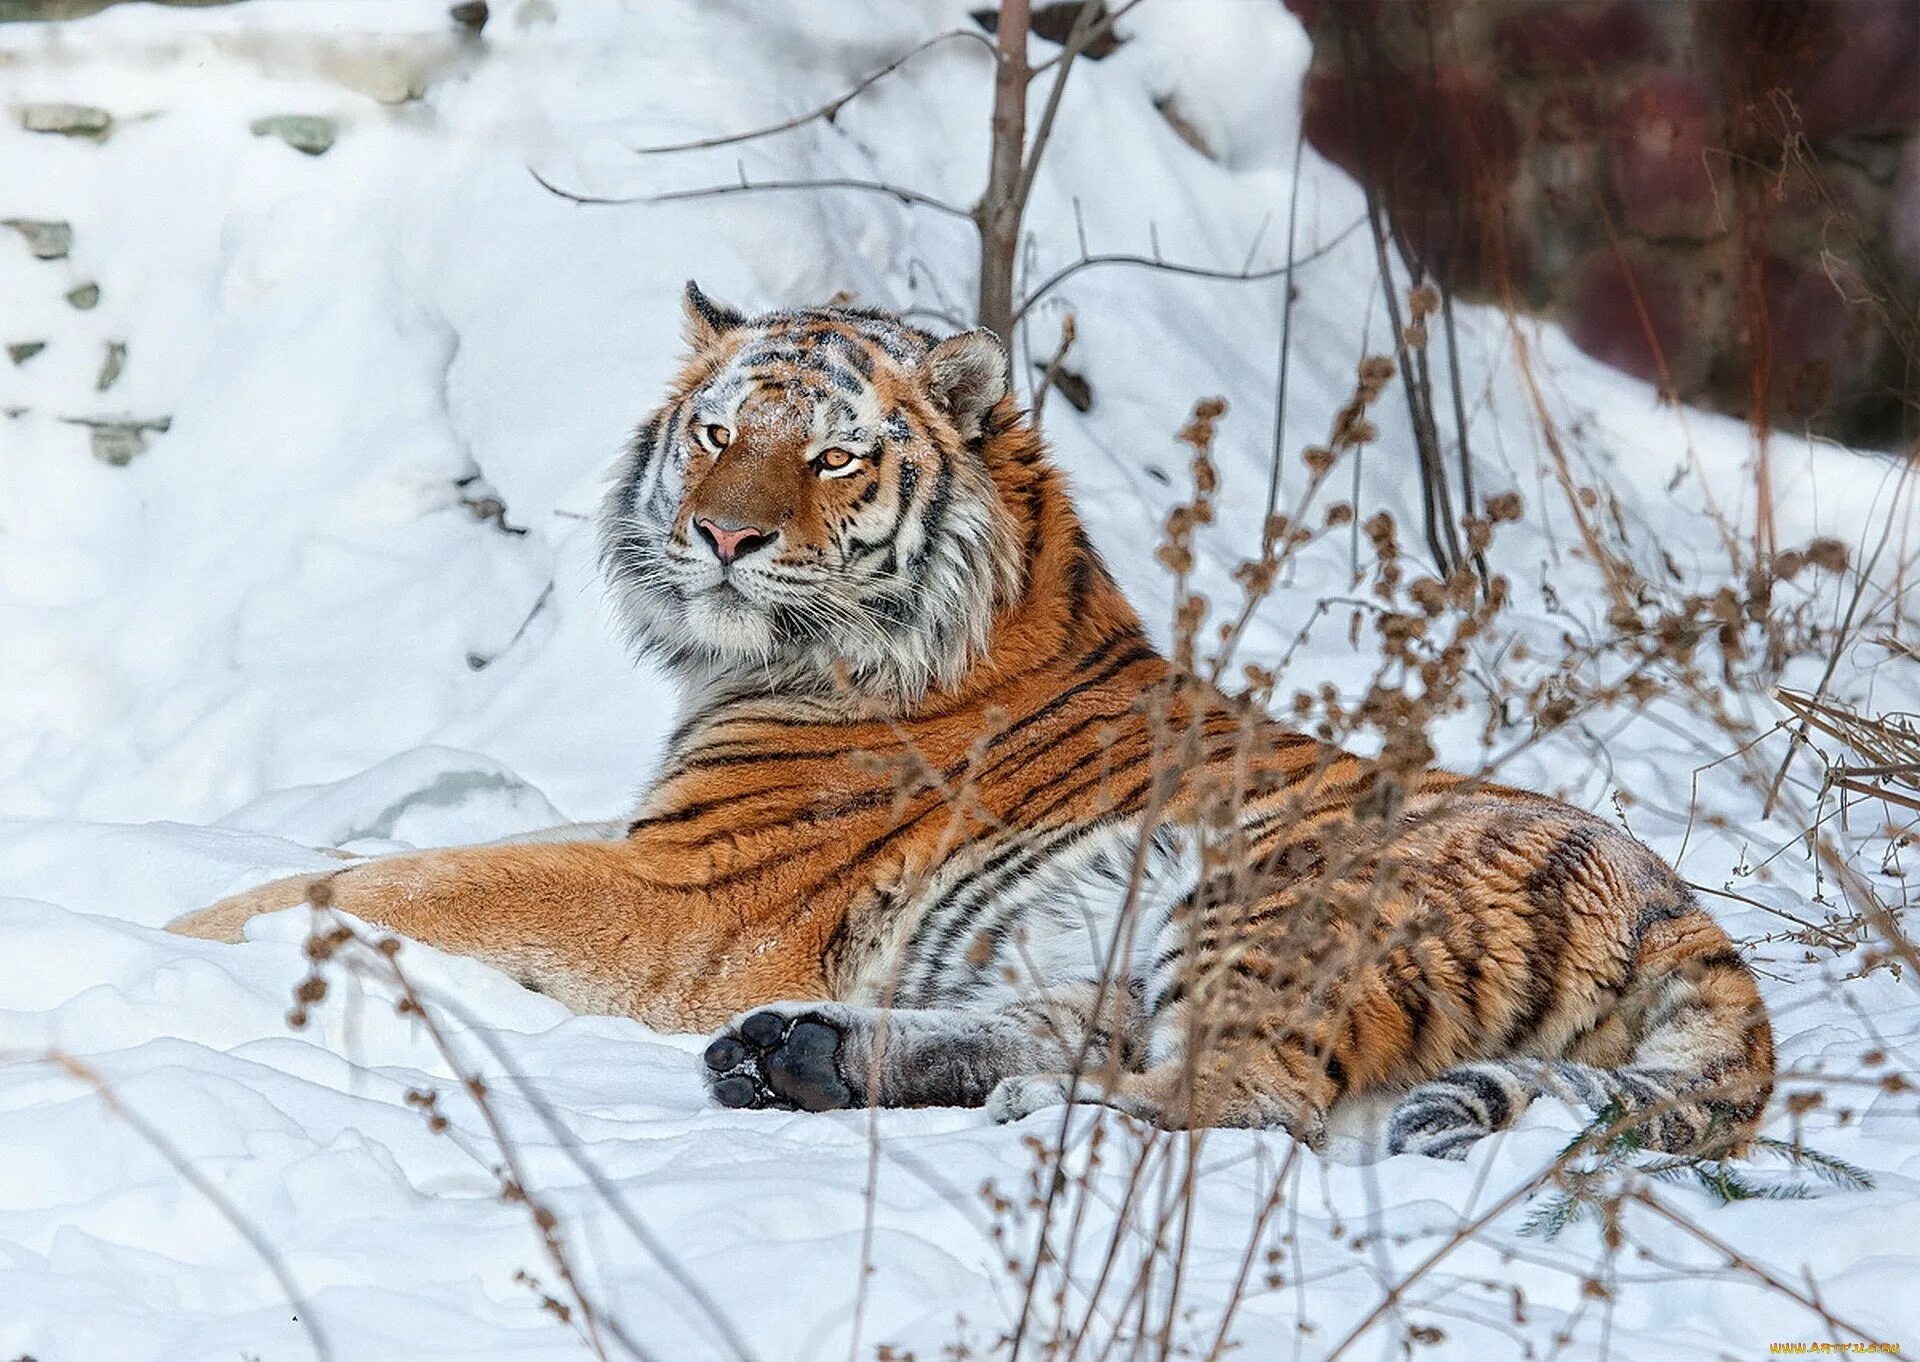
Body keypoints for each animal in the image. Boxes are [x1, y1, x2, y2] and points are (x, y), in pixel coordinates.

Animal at [172, 286, 1774, 1160]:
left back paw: (1038, 1119)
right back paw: (805, 1057)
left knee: (1245, 1097)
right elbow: (394, 861)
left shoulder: (679, 895)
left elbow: (398, 883)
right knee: (1074, 1027)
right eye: (716, 432)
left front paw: (182, 935)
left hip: (1265, 899)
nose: (721, 538)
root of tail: (1684, 908)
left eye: (830, 458)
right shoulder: (657, 847)